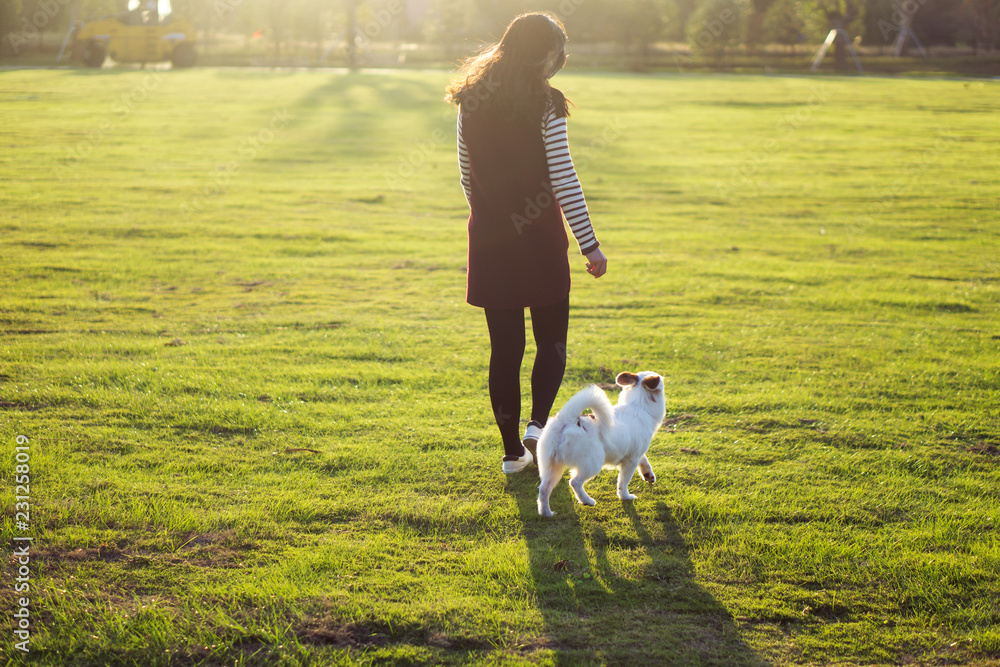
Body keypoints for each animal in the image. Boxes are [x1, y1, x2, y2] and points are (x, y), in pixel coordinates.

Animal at [536, 374, 668, 520]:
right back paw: (586, 500)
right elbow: (623, 481)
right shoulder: (631, 460)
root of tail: (567, 420)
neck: (637, 405)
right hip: (592, 464)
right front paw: (625, 497)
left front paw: (648, 475)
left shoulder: (637, 453)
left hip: (552, 466)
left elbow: (644, 460)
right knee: (575, 482)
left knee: (544, 489)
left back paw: (546, 513)